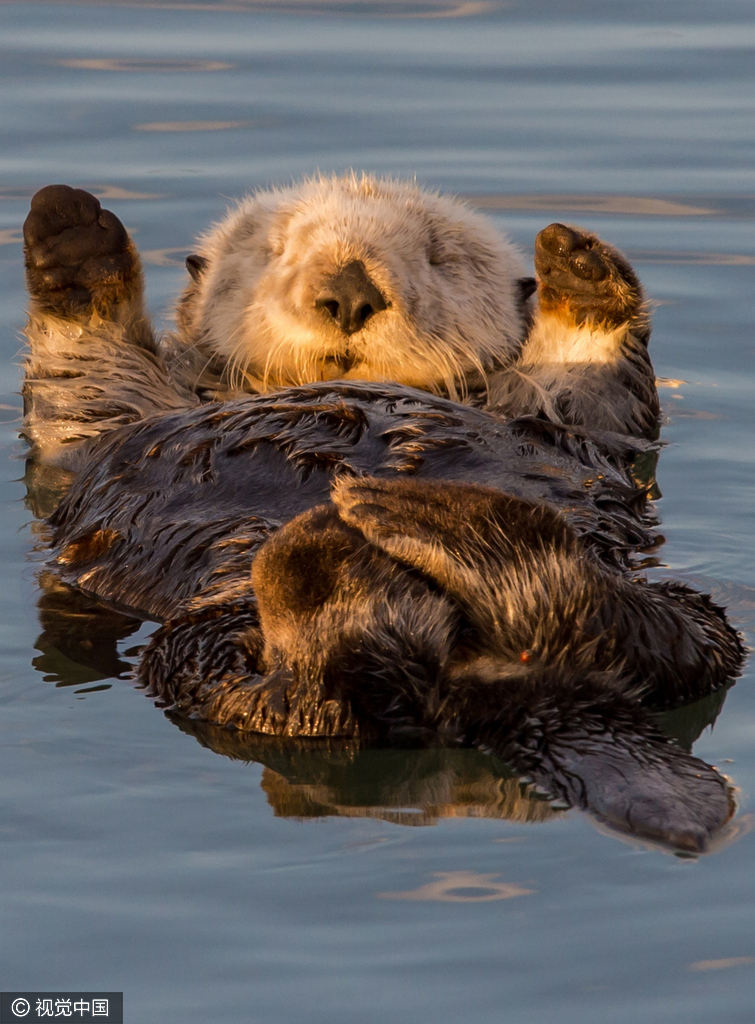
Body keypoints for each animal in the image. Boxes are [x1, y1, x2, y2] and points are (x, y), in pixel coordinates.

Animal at [19, 180, 741, 851]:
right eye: (275, 249)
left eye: (440, 256)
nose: (349, 291)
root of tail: (506, 688)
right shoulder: (101, 429)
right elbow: (87, 384)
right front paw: (71, 239)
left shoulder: (585, 424)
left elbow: (594, 388)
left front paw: (581, 276)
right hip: (204, 650)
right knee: (308, 703)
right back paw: (335, 551)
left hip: (686, 618)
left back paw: (409, 525)